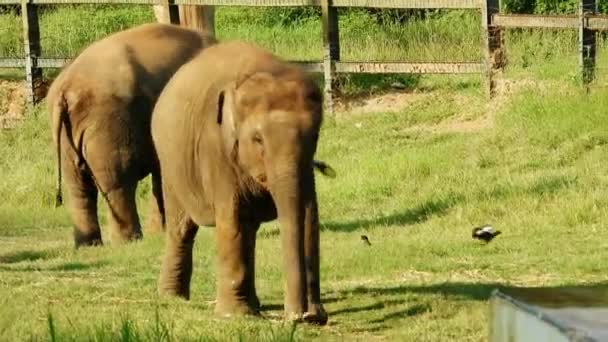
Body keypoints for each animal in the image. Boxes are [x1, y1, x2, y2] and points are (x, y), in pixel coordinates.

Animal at [48, 24, 217, 248]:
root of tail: (65, 89)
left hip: (68, 137)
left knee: (78, 186)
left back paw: (89, 244)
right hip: (108, 124)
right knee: (117, 181)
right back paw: (129, 240)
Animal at [151, 40, 330, 324]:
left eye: (314, 135)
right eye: (258, 139)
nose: (299, 316)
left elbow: (310, 214)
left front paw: (314, 315)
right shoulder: (216, 149)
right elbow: (231, 219)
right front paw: (232, 315)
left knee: (249, 229)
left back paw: (253, 305)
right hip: (169, 163)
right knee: (182, 228)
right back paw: (173, 298)